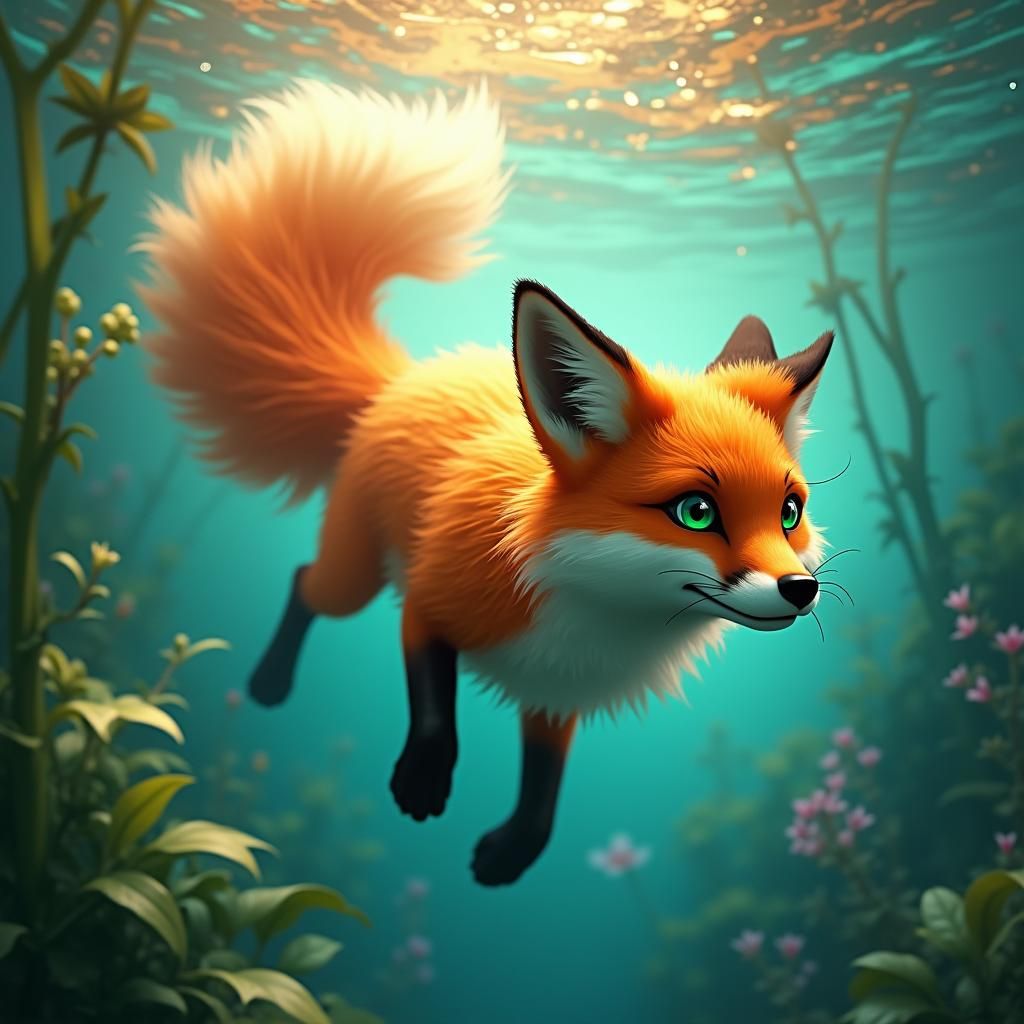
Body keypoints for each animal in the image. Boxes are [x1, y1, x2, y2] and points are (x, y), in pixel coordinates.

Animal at [139, 80, 834, 887]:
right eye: (695, 511)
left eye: (789, 512)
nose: (800, 589)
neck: (594, 610)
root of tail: (404, 378)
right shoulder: (431, 597)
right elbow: (434, 702)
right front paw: (422, 780)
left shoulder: (558, 688)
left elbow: (543, 790)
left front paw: (509, 853)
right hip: (356, 578)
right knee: (305, 582)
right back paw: (271, 680)